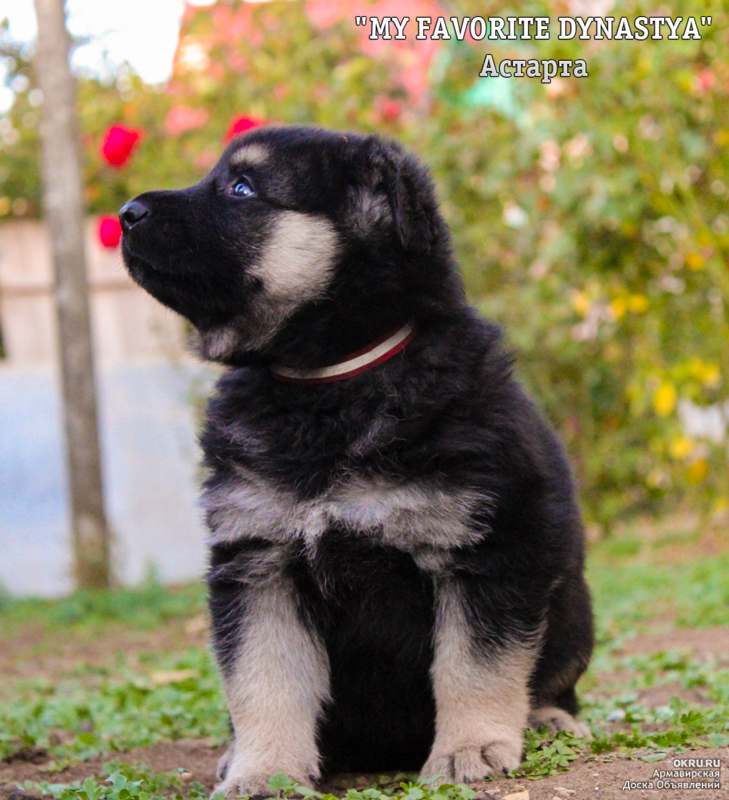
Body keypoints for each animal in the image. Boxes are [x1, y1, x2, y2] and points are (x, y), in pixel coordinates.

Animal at [119, 125, 592, 792]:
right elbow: (264, 678)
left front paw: (470, 746)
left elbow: (475, 663)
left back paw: (547, 719)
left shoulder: (487, 550)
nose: (125, 214)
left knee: (551, 678)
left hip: (572, 610)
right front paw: (265, 770)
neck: (327, 383)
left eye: (242, 188)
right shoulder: (260, 562)